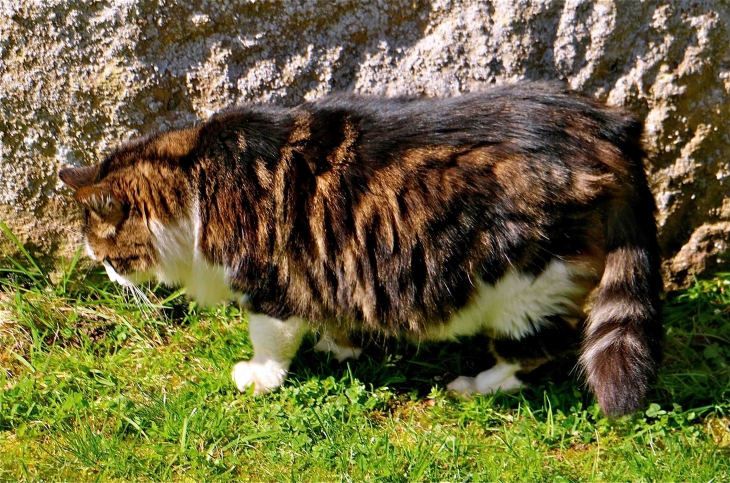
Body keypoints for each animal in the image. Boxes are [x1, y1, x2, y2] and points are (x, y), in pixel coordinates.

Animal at [59, 82, 664, 416]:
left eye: (110, 258)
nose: (107, 277)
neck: (196, 181)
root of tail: (606, 124)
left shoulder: (270, 286)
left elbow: (270, 342)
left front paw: (260, 378)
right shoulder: (336, 261)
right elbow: (341, 306)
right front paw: (341, 346)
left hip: (524, 285)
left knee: (542, 347)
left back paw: (475, 384)